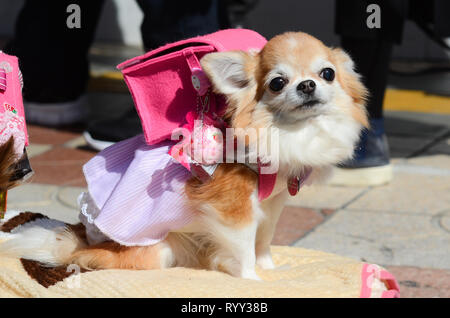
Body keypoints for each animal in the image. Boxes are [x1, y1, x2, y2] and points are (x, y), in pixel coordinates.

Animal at [0, 32, 368, 280]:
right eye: (277, 82)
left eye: (327, 73)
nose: (306, 85)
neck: (288, 132)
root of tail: (80, 239)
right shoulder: (234, 208)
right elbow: (245, 246)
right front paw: (252, 279)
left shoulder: (273, 203)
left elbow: (264, 240)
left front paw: (272, 269)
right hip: (157, 250)